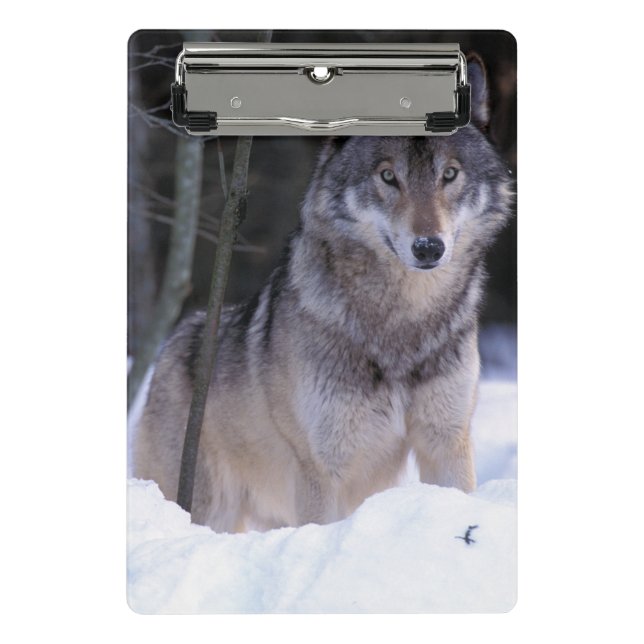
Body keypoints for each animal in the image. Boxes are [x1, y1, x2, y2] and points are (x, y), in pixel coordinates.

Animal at [134, 57, 513, 532]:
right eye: (388, 176)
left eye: (449, 174)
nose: (429, 247)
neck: (403, 324)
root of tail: (169, 346)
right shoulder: (322, 468)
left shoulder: (447, 442)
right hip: (211, 507)